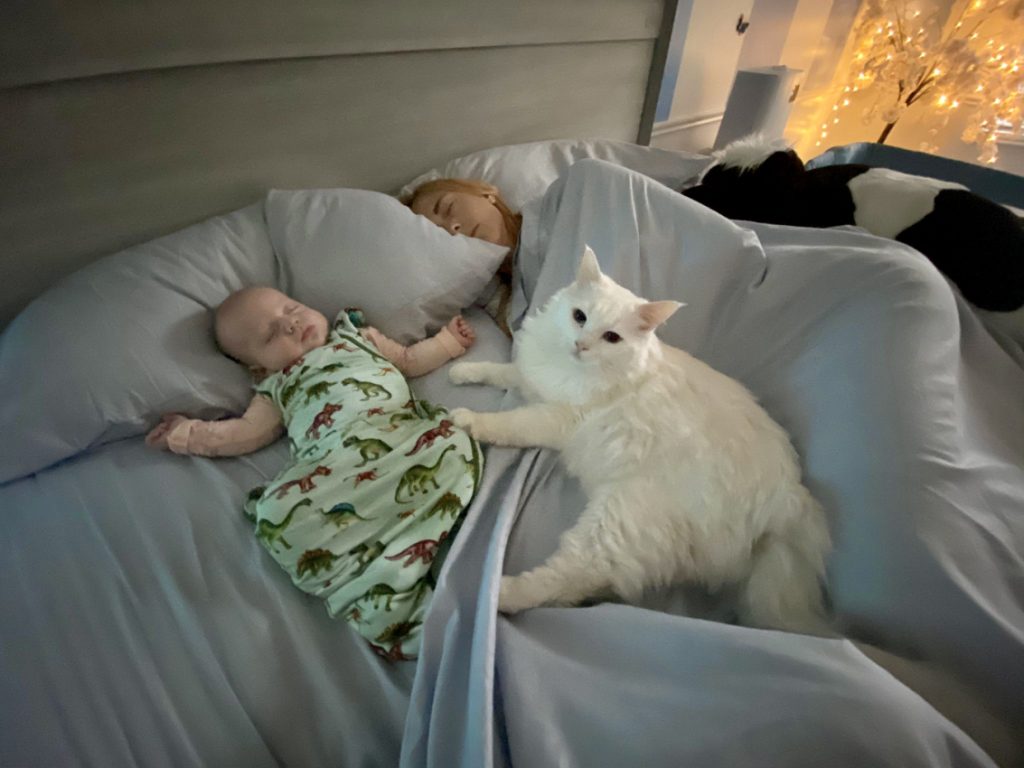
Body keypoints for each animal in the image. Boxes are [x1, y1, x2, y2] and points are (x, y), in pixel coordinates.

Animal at [450, 244, 831, 630]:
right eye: (579, 316)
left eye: (611, 338)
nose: (581, 345)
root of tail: (789, 498)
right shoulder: (534, 379)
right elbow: (503, 371)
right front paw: (462, 370)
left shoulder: (555, 418)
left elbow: (509, 422)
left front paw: (467, 419)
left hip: (618, 520)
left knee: (569, 577)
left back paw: (499, 594)